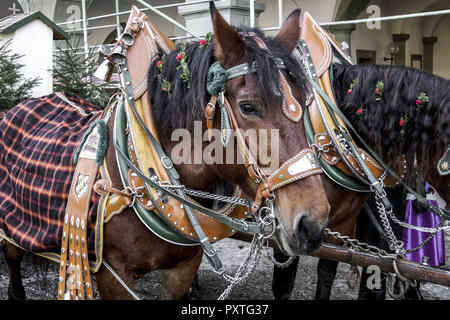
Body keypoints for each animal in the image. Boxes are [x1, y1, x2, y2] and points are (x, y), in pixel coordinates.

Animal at [0, 5, 330, 300]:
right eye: (248, 106)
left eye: (305, 102)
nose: (312, 224)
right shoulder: (113, 276)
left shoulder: (183, 268)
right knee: (13, 261)